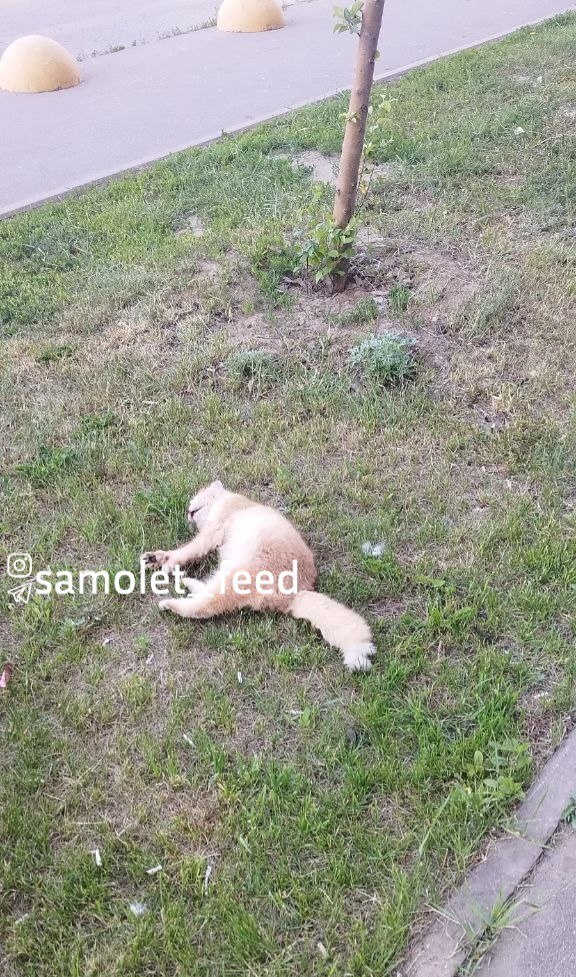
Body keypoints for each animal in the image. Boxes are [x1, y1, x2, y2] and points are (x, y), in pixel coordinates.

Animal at [142, 480, 376, 671]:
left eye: (199, 497)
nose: (188, 510)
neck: (235, 501)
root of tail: (298, 594)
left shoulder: (213, 531)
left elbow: (188, 550)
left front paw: (167, 561)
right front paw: (155, 558)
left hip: (237, 576)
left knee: (206, 606)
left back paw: (170, 603)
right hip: (228, 573)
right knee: (207, 593)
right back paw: (187, 583)